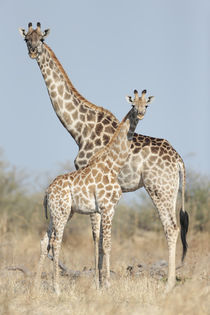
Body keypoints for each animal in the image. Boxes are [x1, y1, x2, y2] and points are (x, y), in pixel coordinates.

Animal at [19, 22, 189, 294]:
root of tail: (179, 159)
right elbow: (96, 238)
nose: (33, 51)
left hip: (158, 188)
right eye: (26, 39)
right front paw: (100, 280)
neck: (79, 128)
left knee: (171, 228)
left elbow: (96, 237)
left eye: (41, 39)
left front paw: (100, 282)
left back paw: (169, 285)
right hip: (171, 189)